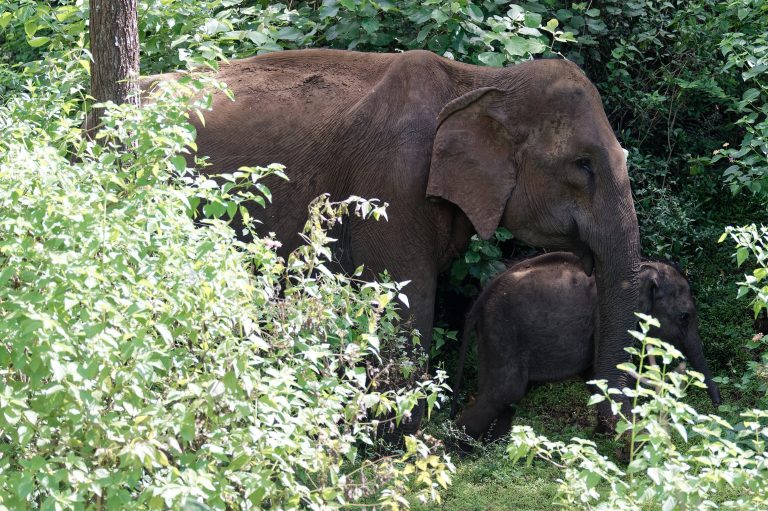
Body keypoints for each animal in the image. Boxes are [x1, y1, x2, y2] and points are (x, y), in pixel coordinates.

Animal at [144, 49, 641, 432]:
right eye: (583, 164)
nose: (606, 428)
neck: (480, 80)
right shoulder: (392, 185)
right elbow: (404, 299)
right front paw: (400, 436)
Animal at [451, 252, 721, 442]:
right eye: (685, 317)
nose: (718, 408)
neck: (644, 267)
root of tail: (480, 301)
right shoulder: (608, 317)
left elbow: (594, 375)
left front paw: (602, 436)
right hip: (503, 328)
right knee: (506, 391)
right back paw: (457, 450)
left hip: (492, 336)